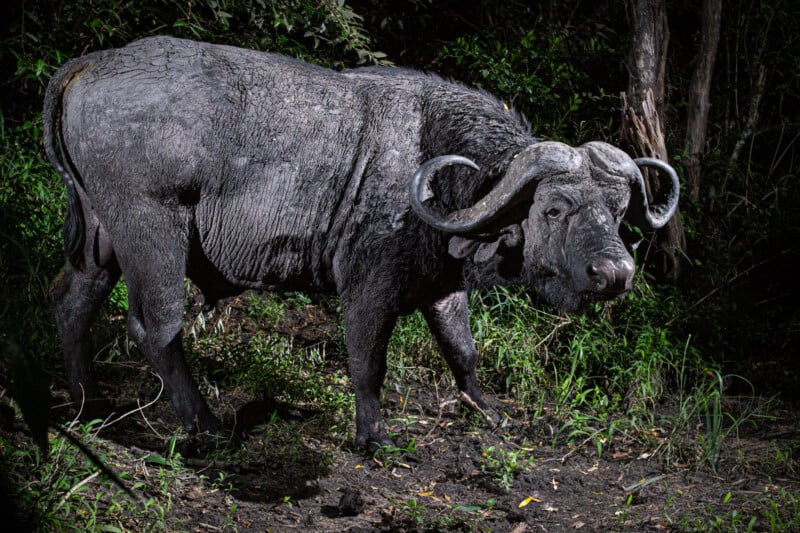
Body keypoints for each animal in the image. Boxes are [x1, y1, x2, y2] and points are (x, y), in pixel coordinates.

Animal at [44, 36, 679, 448]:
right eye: (554, 208)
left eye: (618, 210)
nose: (616, 274)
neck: (434, 162)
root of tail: (91, 62)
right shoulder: (367, 289)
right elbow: (368, 362)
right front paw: (373, 436)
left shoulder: (442, 286)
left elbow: (463, 351)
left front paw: (488, 411)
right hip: (152, 230)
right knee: (156, 328)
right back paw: (207, 429)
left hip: (102, 240)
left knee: (73, 304)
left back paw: (89, 406)